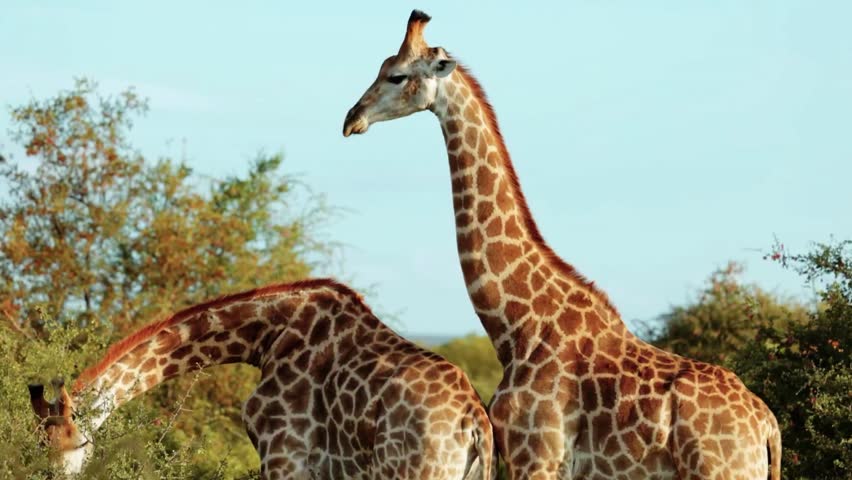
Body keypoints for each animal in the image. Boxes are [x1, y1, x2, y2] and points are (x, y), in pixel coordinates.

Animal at [342, 10, 781, 480]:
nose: (351, 118)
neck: (517, 324)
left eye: (396, 75)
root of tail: (766, 426)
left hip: (723, 471)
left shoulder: (536, 456)